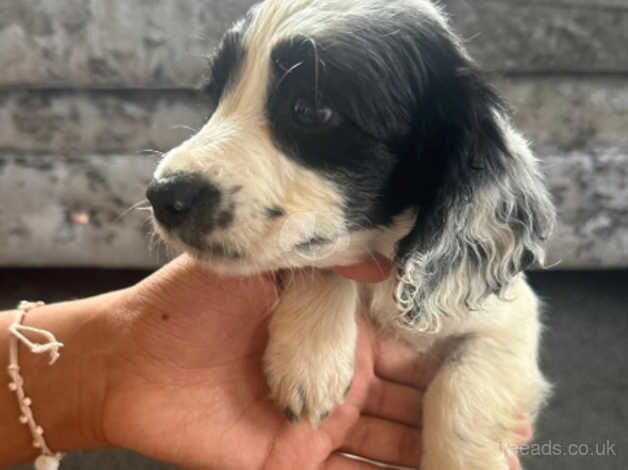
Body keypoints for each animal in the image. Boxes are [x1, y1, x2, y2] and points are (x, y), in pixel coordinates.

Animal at [146, 1, 556, 468]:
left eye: (312, 111)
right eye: (215, 97)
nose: (162, 194)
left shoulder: (508, 317)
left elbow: (463, 386)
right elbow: (324, 264)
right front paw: (309, 360)